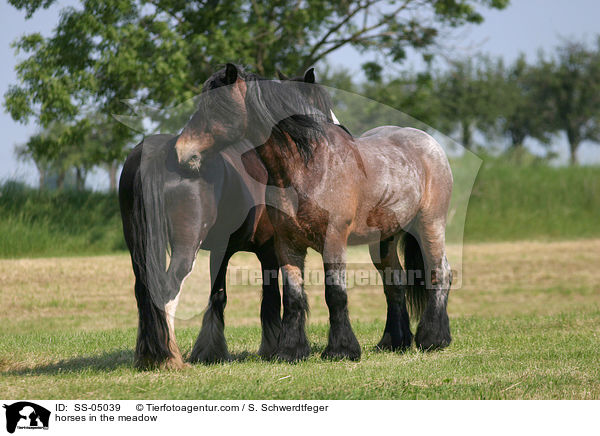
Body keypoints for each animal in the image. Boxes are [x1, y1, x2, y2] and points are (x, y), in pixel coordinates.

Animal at [122, 135, 284, 370]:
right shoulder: (269, 250)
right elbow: (271, 297)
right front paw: (272, 348)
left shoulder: (221, 250)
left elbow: (218, 295)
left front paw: (211, 352)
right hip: (186, 249)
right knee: (168, 289)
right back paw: (170, 358)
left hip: (138, 248)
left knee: (143, 291)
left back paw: (148, 356)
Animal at [176, 63, 452, 362]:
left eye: (214, 106)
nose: (181, 151)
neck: (309, 166)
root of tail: (428, 142)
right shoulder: (287, 244)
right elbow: (293, 296)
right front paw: (290, 351)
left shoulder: (334, 241)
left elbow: (335, 294)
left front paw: (341, 350)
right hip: (384, 240)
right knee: (395, 282)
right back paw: (394, 342)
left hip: (430, 225)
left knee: (440, 272)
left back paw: (434, 338)